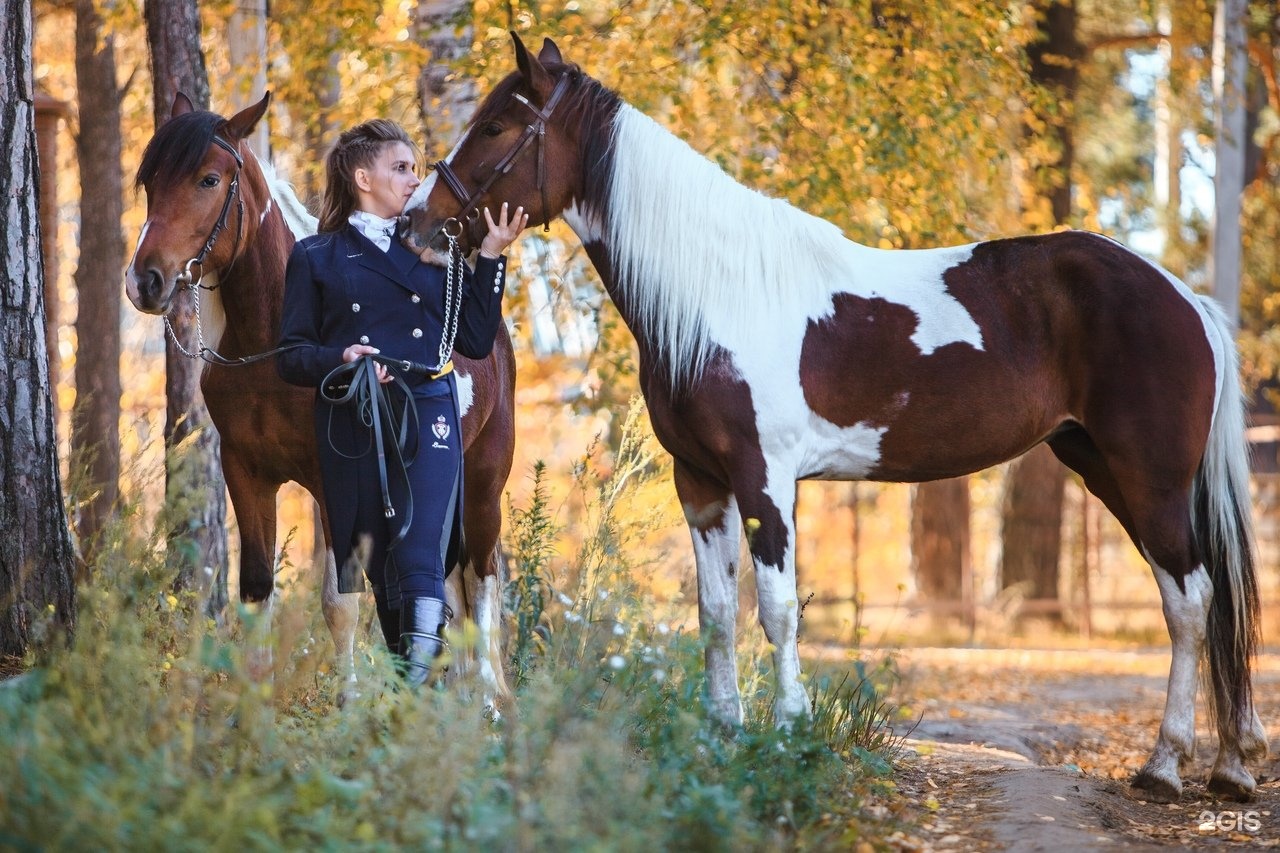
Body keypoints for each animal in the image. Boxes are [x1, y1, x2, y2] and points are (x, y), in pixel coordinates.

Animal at [126, 92, 514, 701]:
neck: (275, 347)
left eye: (209, 179)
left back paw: (487, 700)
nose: (145, 282)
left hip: (482, 483)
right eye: (150, 181)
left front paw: (348, 704)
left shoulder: (337, 480)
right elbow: (257, 591)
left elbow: (339, 602)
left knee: (483, 582)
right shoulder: (245, 473)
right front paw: (254, 704)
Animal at [404, 33, 1264, 799]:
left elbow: (780, 612)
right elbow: (716, 613)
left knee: (1190, 599)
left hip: (1148, 480)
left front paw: (788, 730)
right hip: (1104, 469)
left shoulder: (766, 478)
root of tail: (1184, 298)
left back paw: (1165, 765)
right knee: (1198, 593)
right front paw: (723, 733)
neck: (718, 288)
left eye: (497, 126)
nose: (416, 220)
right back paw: (1230, 763)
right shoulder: (701, 482)